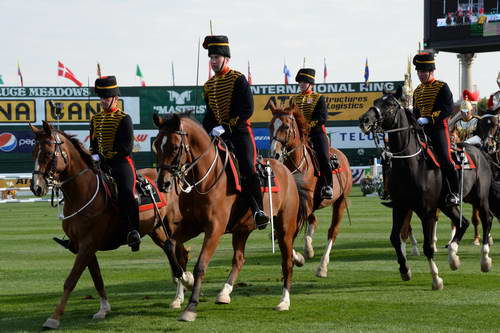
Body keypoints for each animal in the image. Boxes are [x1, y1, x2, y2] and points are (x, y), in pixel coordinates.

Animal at [28, 122, 191, 330]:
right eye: (34, 152)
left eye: (49, 153)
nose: (36, 187)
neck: (83, 191)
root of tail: (171, 178)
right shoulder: (84, 246)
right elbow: (97, 279)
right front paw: (104, 309)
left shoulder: (88, 244)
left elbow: (71, 280)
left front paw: (54, 318)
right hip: (156, 229)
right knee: (170, 251)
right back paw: (179, 293)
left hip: (170, 226)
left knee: (178, 254)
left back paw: (182, 288)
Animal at [152, 113, 308, 320]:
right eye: (156, 144)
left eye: (175, 147)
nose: (163, 183)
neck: (205, 178)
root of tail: (287, 172)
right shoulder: (190, 226)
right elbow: (170, 244)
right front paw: (186, 279)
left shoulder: (214, 230)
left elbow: (201, 265)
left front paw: (191, 307)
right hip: (242, 229)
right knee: (239, 259)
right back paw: (224, 293)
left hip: (285, 229)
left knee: (287, 262)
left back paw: (284, 301)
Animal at [268, 104, 354, 278]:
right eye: (270, 126)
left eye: (286, 126)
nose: (275, 154)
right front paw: (301, 256)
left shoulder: (304, 204)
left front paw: (298, 258)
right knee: (313, 220)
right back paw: (308, 250)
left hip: (340, 202)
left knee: (332, 232)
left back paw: (322, 267)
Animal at [358, 90, 494, 288]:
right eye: (375, 102)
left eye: (390, 105)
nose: (364, 120)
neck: (410, 163)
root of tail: (479, 151)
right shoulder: (400, 207)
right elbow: (394, 238)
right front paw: (405, 270)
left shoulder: (427, 211)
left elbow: (428, 247)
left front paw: (436, 279)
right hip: (447, 204)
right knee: (463, 222)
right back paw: (453, 257)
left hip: (480, 198)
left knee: (486, 220)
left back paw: (484, 260)